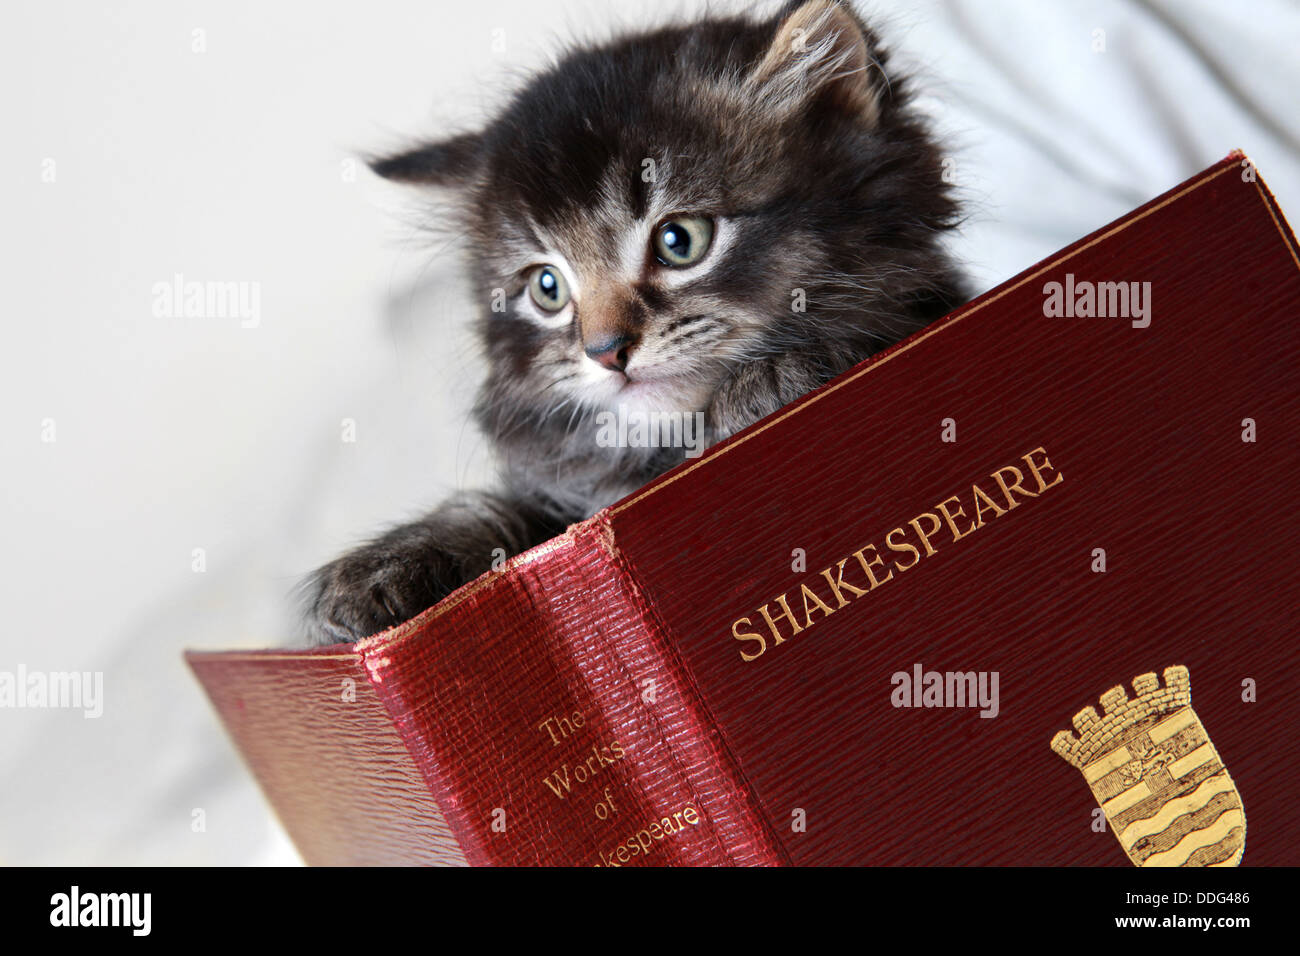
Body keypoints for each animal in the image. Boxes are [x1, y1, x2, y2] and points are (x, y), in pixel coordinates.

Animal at [301, 0, 967, 647]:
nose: (605, 351)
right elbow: (497, 515)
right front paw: (385, 565)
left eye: (680, 241)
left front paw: (771, 386)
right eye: (547, 288)